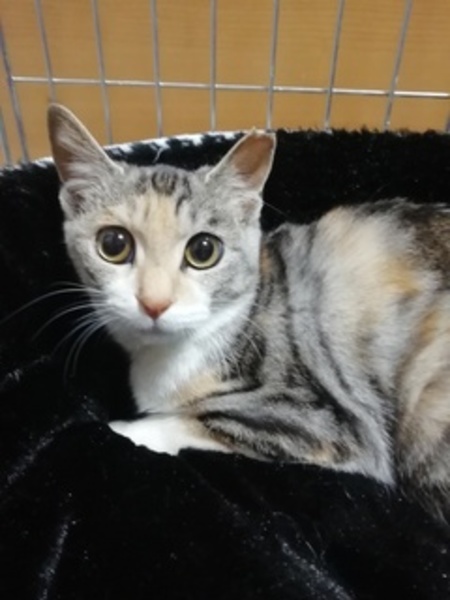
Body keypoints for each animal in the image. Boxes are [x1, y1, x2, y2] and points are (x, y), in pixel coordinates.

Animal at [48, 103, 450, 518]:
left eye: (203, 250)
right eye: (113, 244)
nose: (154, 301)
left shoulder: (325, 423)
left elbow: (177, 425)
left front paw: (115, 429)